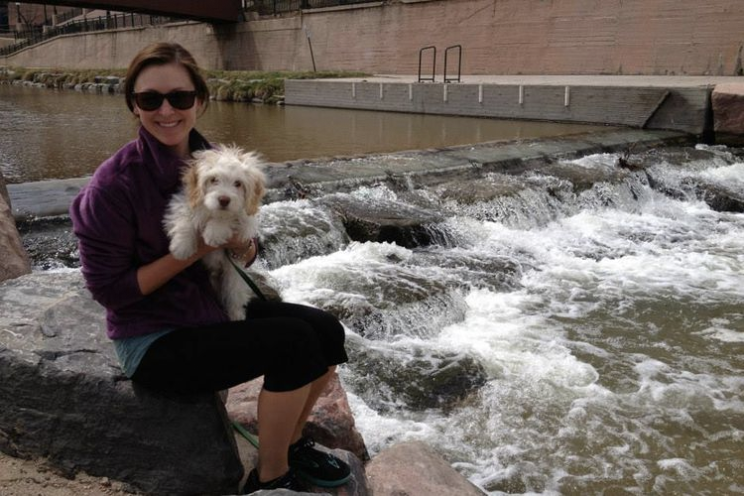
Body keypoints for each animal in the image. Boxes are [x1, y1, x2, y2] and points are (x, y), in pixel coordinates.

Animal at [164, 145, 266, 320]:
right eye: (213, 180)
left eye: (238, 183)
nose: (224, 200)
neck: (214, 212)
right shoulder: (186, 202)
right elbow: (186, 218)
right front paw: (182, 247)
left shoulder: (244, 223)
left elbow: (229, 218)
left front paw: (214, 233)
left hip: (234, 278)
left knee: (234, 296)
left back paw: (236, 315)